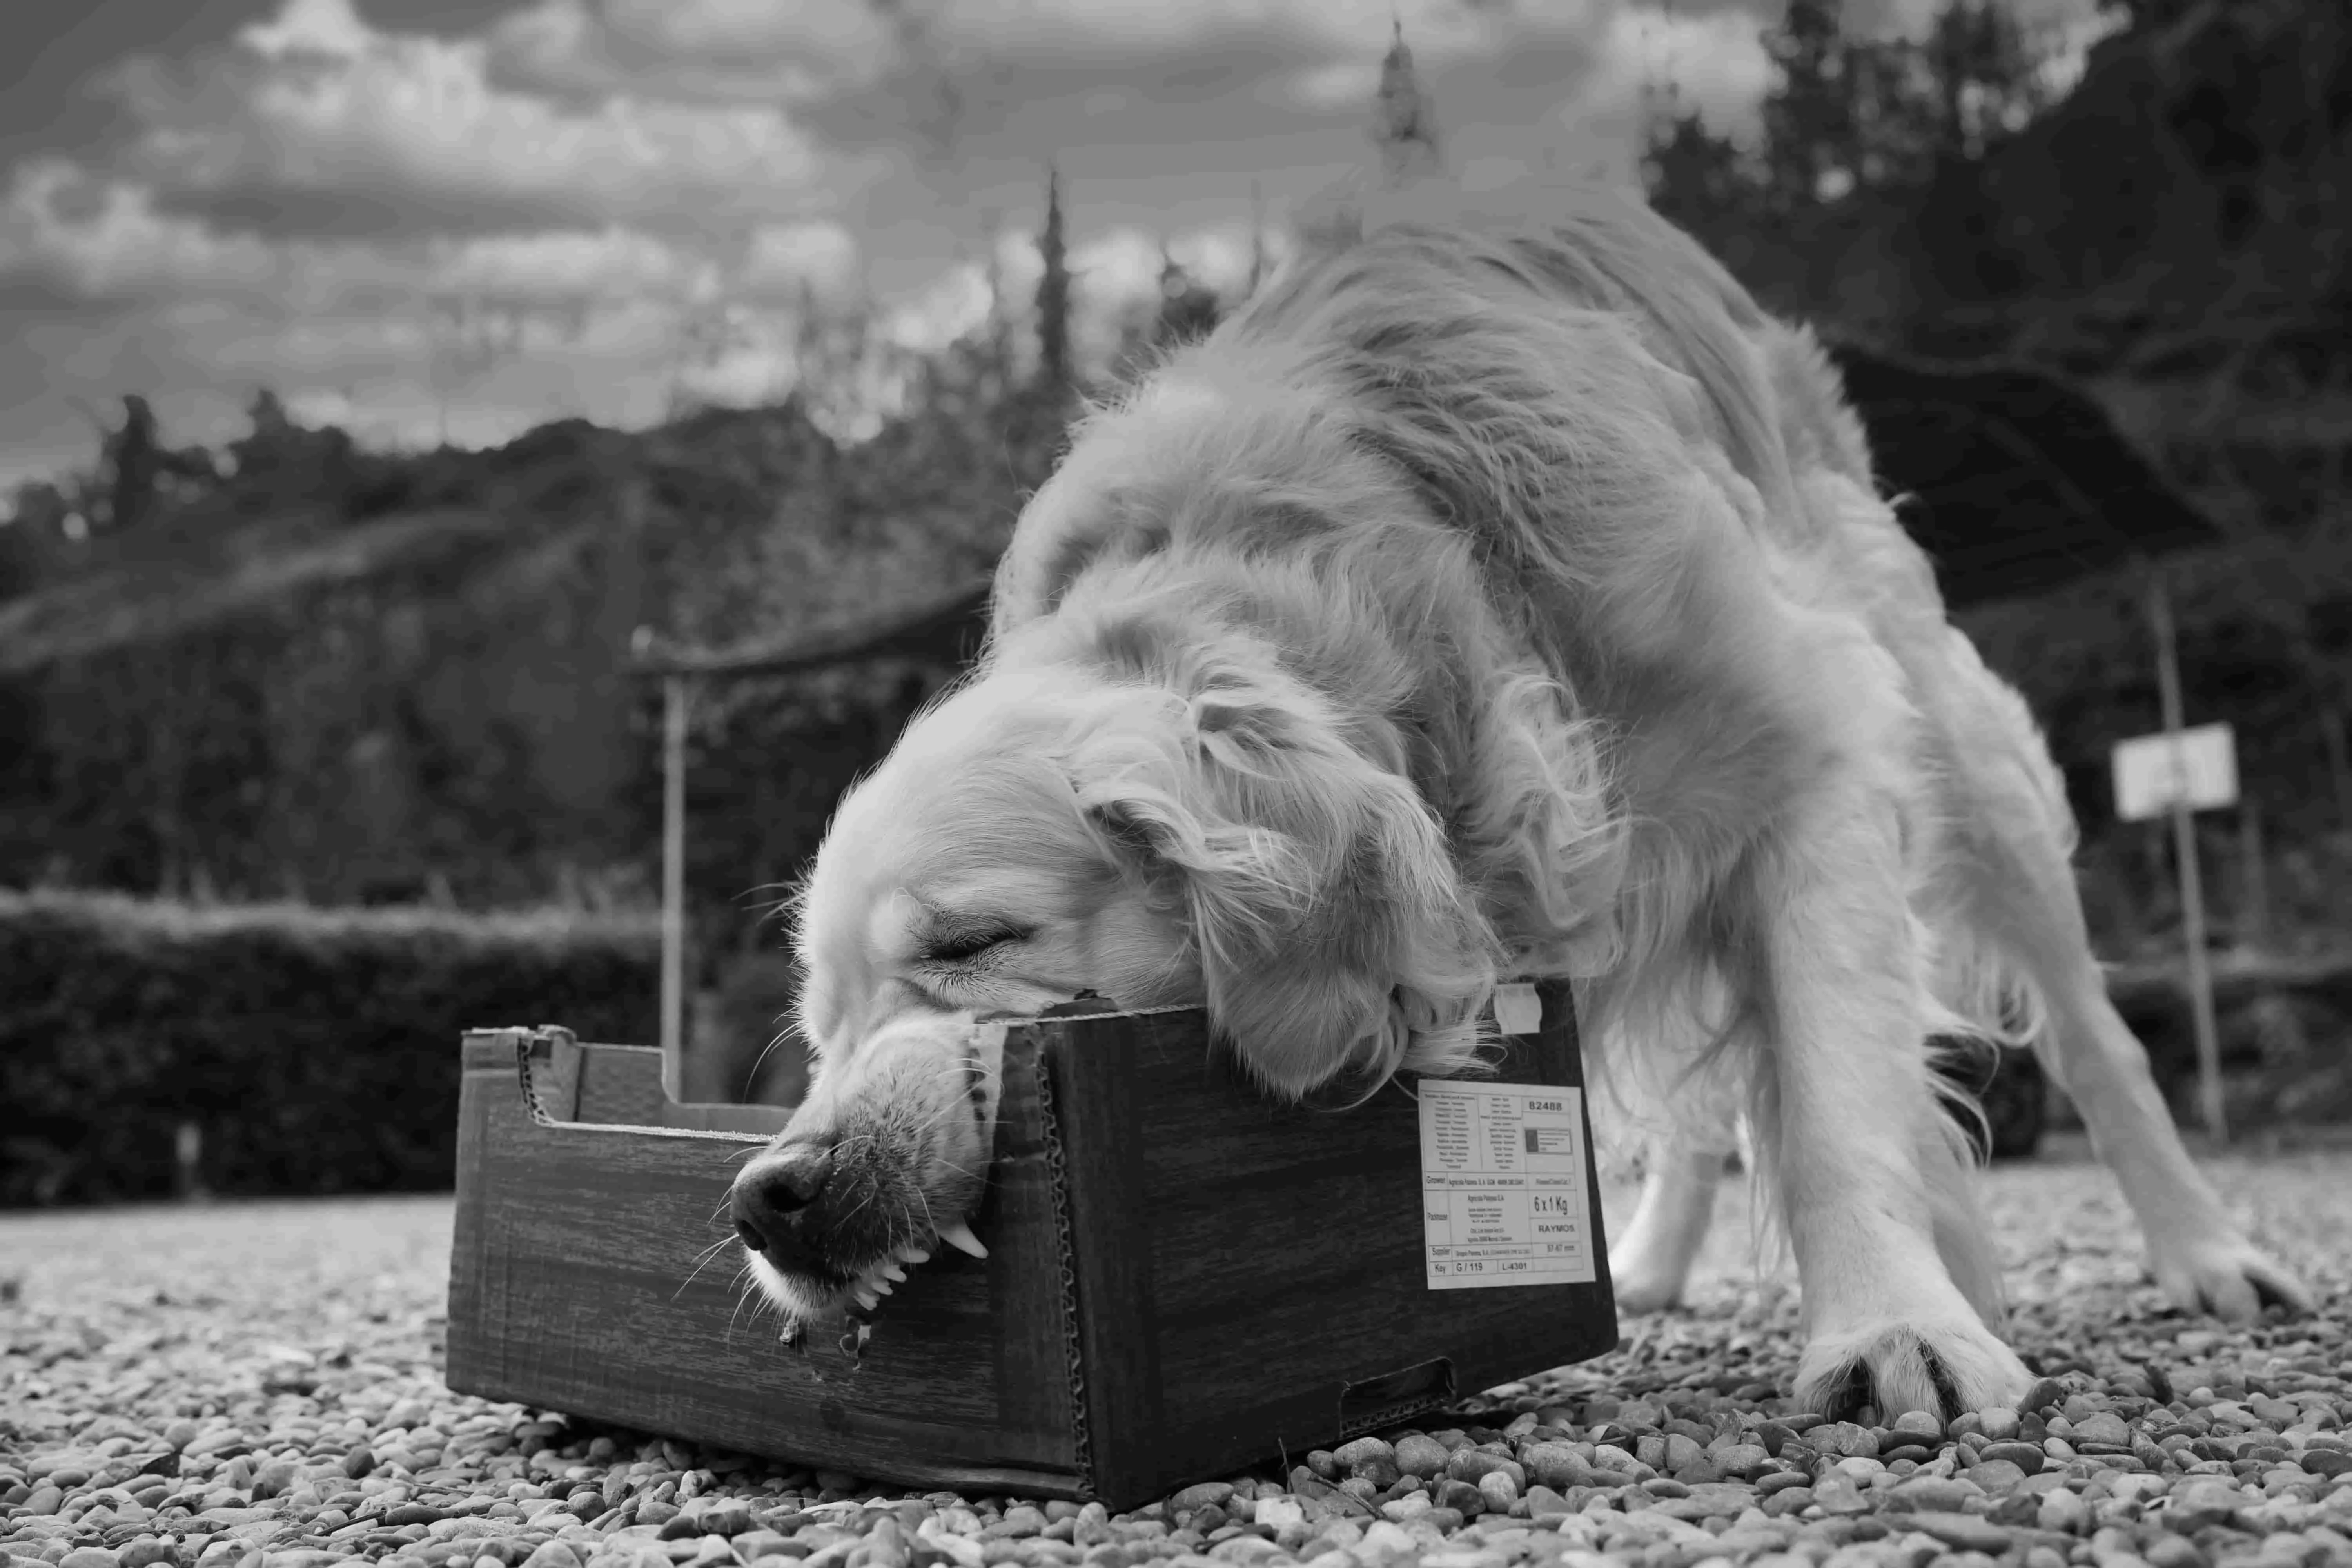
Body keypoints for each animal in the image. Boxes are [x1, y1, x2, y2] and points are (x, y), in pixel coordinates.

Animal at [739, 175, 2314, 1420]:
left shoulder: (1814, 757)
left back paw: (2205, 1253)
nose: (767, 1194)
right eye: (815, 1031)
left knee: (2093, 1031)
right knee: (1705, 1096)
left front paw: (1893, 1325)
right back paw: (1667, 1260)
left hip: (1947, 729)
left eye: (970, 942)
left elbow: (1833, 1091)